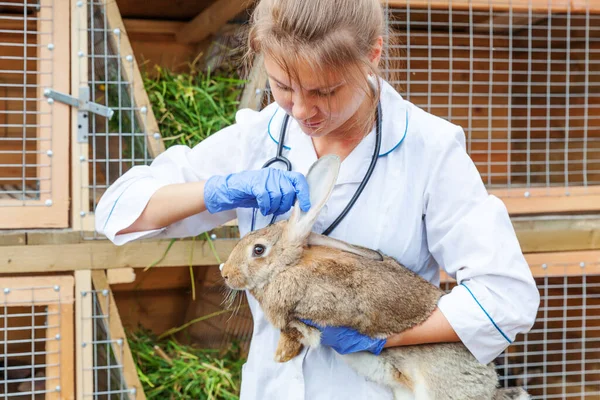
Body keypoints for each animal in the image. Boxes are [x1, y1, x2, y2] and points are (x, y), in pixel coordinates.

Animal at [220, 154, 528, 400]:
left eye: (258, 250)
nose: (225, 272)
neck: (288, 266)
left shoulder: (312, 311)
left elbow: (296, 332)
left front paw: (281, 355)